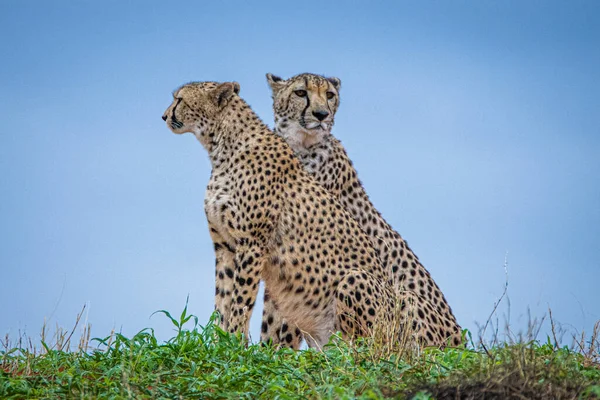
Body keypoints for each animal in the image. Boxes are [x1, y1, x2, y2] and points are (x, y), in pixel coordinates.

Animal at [162, 80, 406, 346]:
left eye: (179, 99)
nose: (164, 116)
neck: (221, 149)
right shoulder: (224, 246)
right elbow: (222, 299)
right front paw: (219, 342)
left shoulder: (252, 244)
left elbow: (241, 300)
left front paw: (235, 342)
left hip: (356, 283)